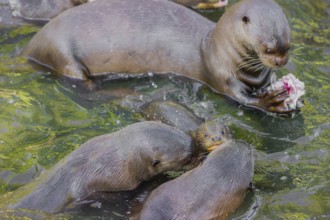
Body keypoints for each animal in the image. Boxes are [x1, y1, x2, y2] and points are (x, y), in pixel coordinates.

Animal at [21, 0, 292, 113]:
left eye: (287, 47)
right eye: (268, 49)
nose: (280, 61)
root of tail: (31, 47)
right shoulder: (222, 75)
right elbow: (239, 98)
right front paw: (270, 103)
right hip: (62, 53)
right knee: (84, 84)